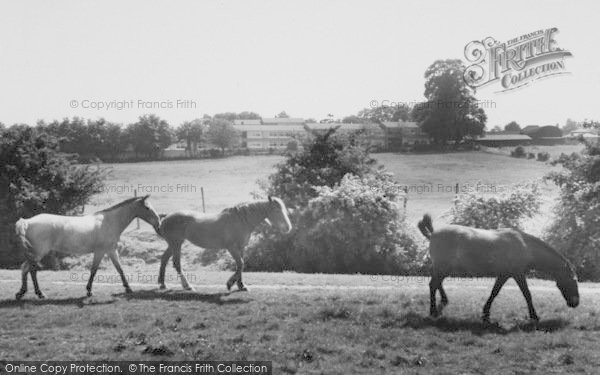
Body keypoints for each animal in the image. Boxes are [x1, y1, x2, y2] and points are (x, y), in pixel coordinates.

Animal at [15, 195, 162, 302]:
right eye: (147, 207)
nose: (158, 223)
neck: (109, 221)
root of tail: (27, 222)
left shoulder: (111, 250)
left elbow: (120, 269)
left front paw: (128, 289)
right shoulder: (100, 251)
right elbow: (94, 270)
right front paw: (89, 291)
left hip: (34, 254)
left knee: (24, 268)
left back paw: (21, 293)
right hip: (39, 253)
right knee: (32, 270)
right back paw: (40, 294)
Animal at [158, 198, 292, 292]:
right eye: (276, 210)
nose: (288, 228)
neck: (241, 220)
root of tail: (166, 217)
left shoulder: (241, 248)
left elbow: (241, 265)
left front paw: (241, 286)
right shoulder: (232, 248)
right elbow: (240, 264)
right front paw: (230, 283)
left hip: (173, 244)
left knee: (164, 259)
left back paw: (162, 284)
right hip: (176, 244)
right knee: (177, 264)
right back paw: (187, 286)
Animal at [414, 214, 580, 324]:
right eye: (573, 281)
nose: (575, 303)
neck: (525, 246)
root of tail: (433, 234)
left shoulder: (504, 275)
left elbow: (494, 293)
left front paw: (485, 314)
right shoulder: (515, 274)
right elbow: (526, 294)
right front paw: (534, 316)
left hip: (444, 269)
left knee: (437, 284)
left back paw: (443, 301)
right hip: (442, 268)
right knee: (433, 285)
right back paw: (433, 311)